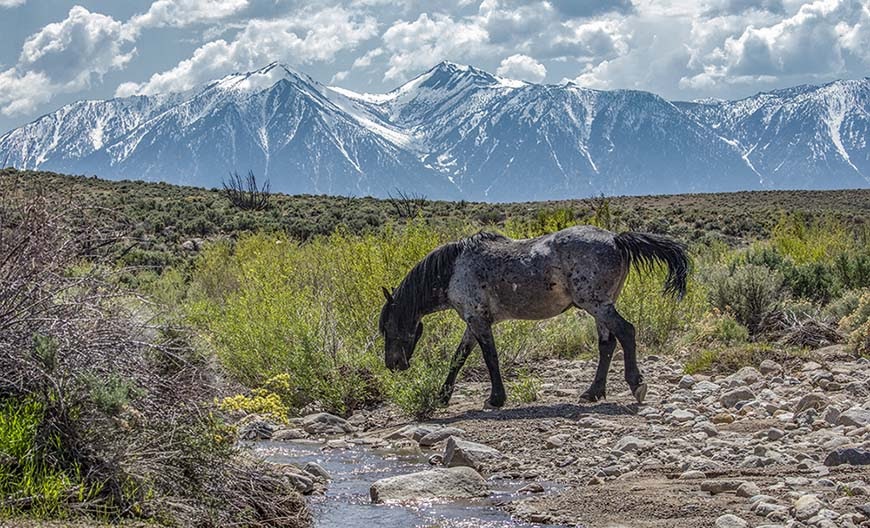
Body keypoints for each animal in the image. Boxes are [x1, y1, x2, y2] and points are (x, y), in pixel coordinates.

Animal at [378, 226, 692, 408]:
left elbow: (489, 357)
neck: (454, 268)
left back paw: (636, 384)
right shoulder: (473, 321)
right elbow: (459, 357)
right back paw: (592, 392)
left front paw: (496, 399)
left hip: (597, 305)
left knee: (626, 332)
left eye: (388, 326)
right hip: (600, 306)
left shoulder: (478, 320)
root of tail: (616, 238)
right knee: (607, 345)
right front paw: (443, 396)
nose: (393, 365)